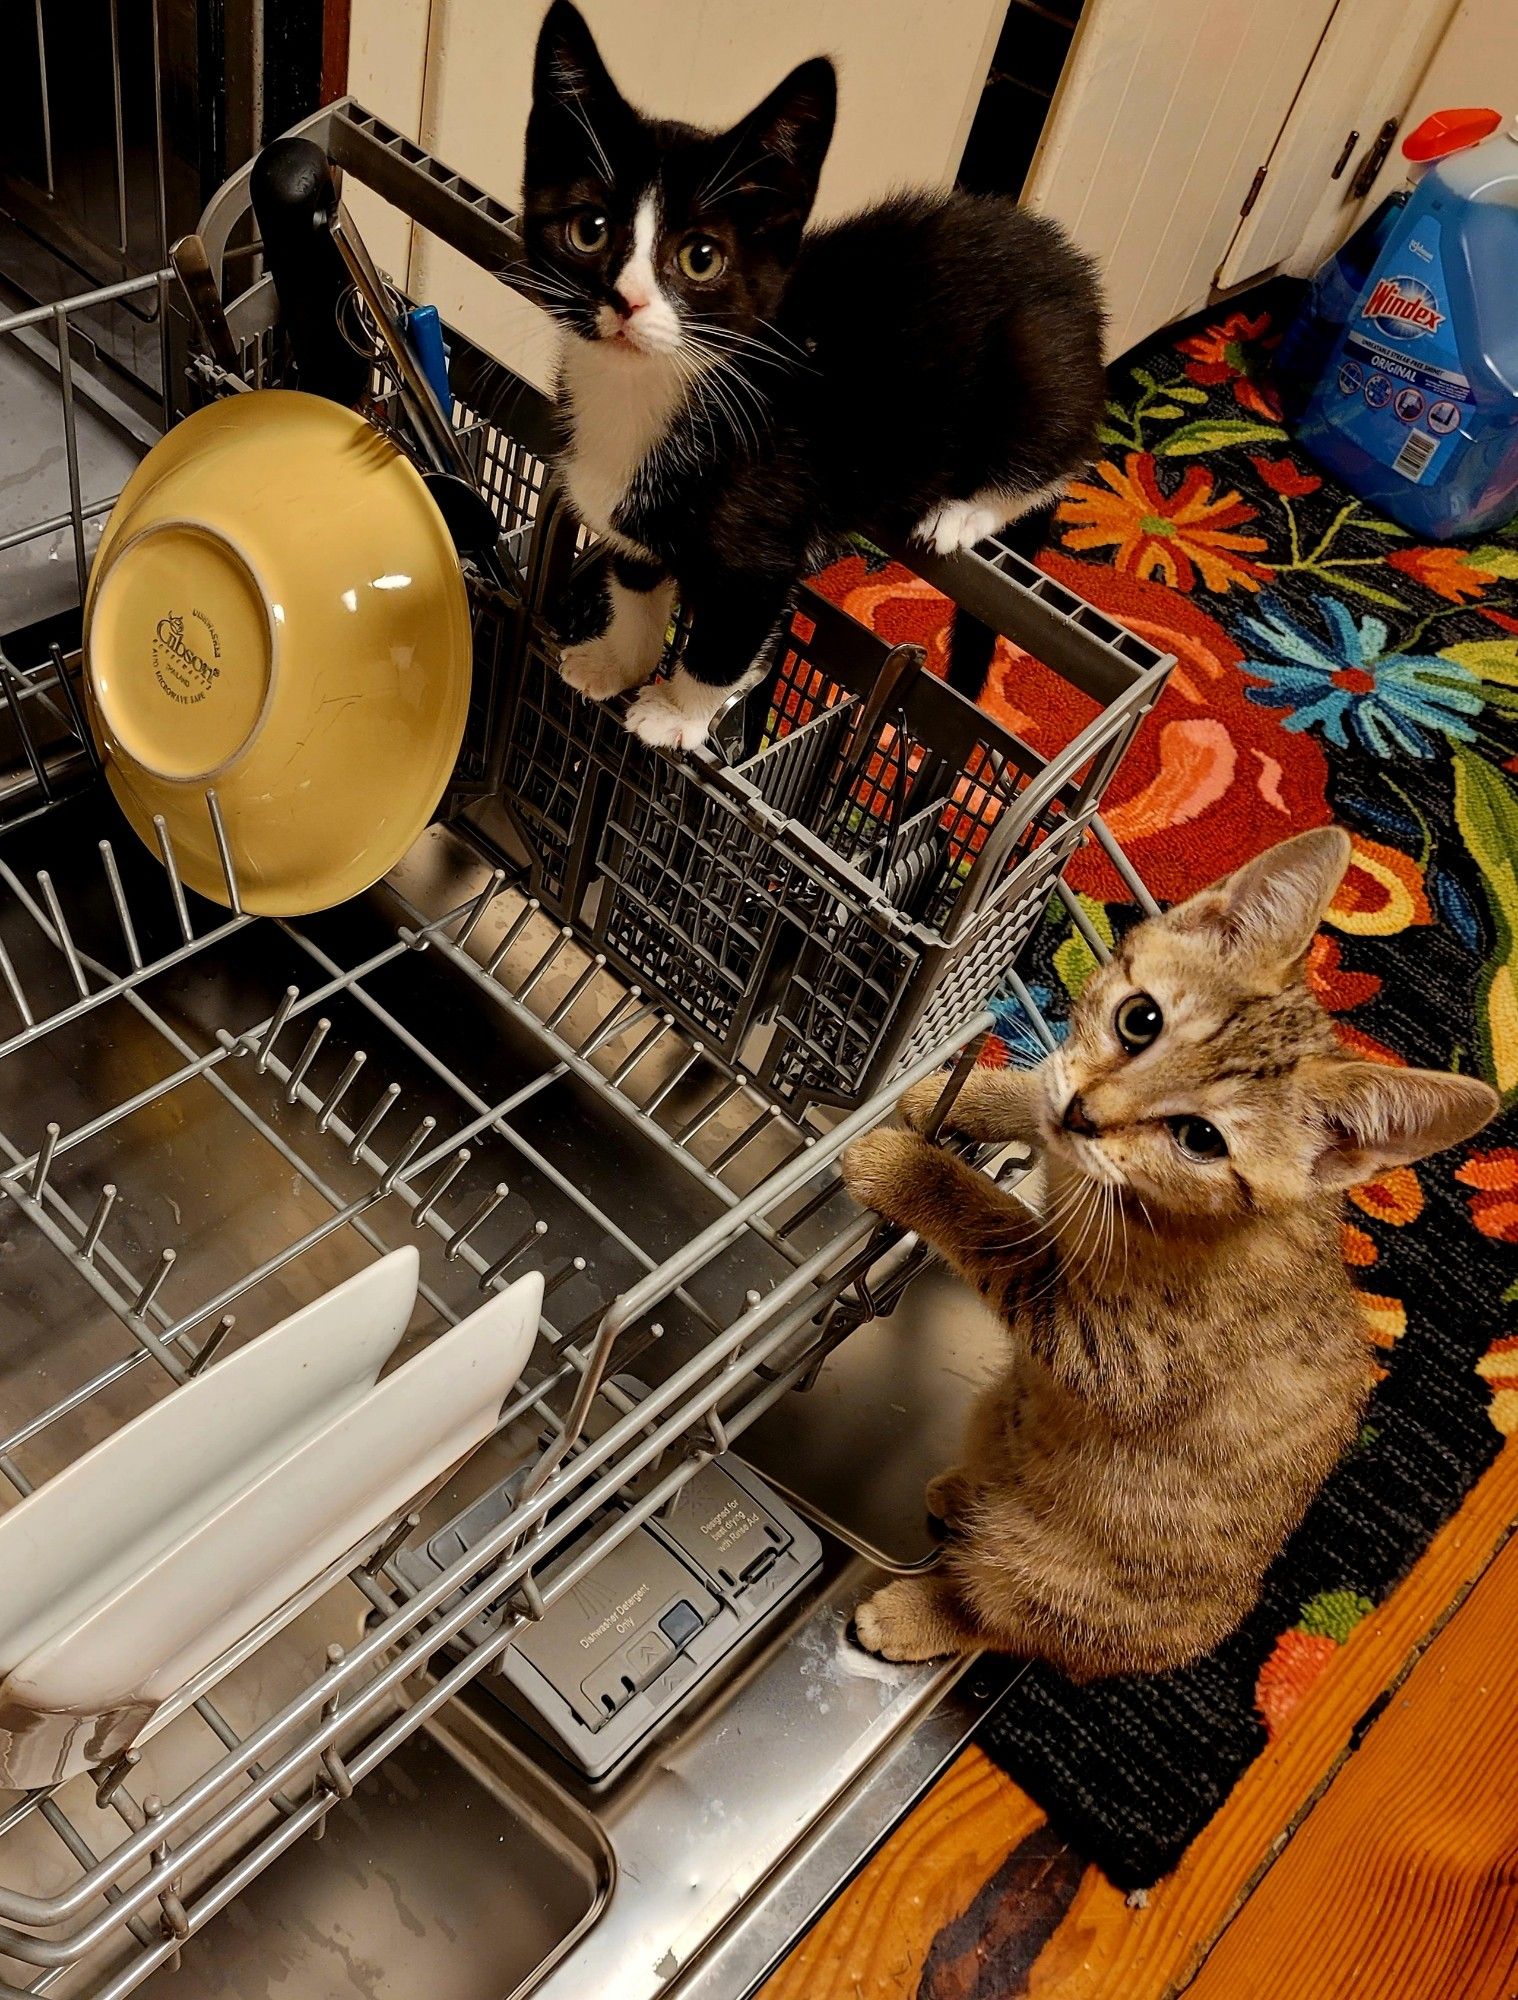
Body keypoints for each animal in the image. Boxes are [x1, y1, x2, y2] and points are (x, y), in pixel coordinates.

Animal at [524, 1, 1104, 752]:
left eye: (701, 258)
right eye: (588, 230)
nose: (627, 303)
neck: (641, 397)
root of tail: (1076, 272)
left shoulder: (760, 551)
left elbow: (726, 639)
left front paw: (678, 713)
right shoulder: (626, 515)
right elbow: (637, 582)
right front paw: (616, 661)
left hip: (1037, 356)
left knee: (1067, 452)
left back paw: (966, 511)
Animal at [844, 828, 1496, 1672]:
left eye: (1199, 1138)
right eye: (1140, 1019)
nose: (1085, 1116)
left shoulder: (1115, 1350)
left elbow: (994, 1225)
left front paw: (905, 1168)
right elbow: (1034, 1096)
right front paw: (963, 1094)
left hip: (1048, 1576)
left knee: (1003, 1619)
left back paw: (914, 1613)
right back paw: (964, 1487)